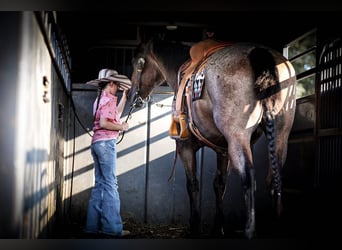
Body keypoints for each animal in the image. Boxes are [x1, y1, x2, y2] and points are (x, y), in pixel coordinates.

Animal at [128, 37, 296, 238]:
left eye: (136, 61)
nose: (131, 94)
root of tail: (262, 54)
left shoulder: (186, 147)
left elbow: (192, 184)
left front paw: (194, 227)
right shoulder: (222, 151)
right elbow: (219, 184)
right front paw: (218, 228)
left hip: (238, 138)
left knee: (248, 176)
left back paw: (249, 230)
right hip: (280, 137)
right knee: (273, 178)